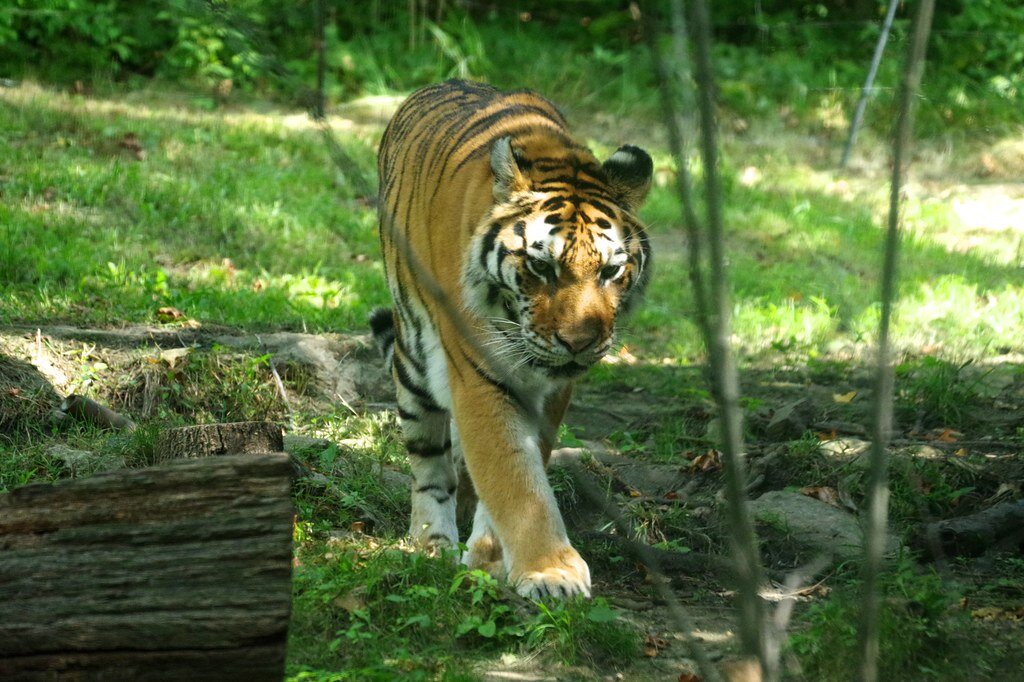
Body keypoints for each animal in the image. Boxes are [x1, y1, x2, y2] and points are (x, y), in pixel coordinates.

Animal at [372, 78, 651, 593]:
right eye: (541, 267)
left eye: (610, 271)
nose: (578, 343)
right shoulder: (478, 373)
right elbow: (513, 475)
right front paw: (552, 572)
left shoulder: (554, 388)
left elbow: (522, 465)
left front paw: (491, 556)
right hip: (414, 364)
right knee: (429, 463)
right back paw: (431, 542)